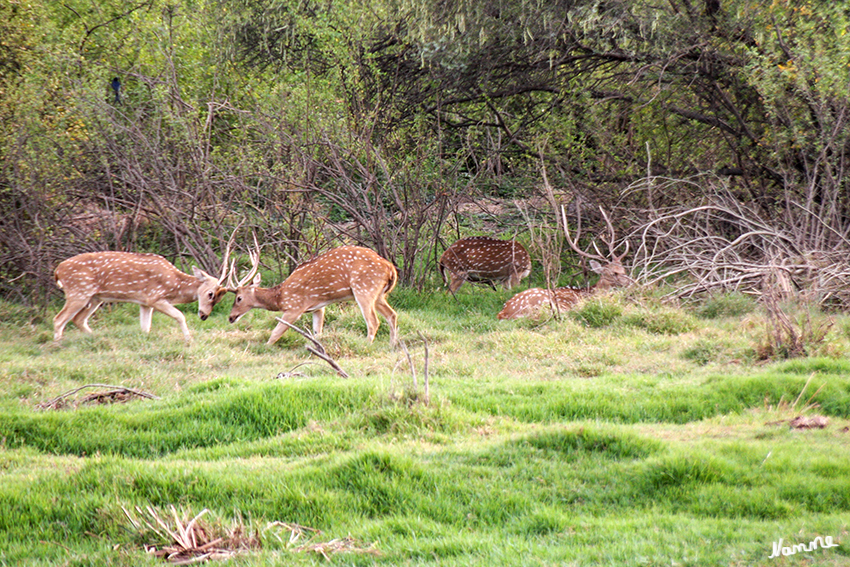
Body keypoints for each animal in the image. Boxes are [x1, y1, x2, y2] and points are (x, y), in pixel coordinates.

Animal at [225, 244, 398, 346]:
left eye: (239, 298)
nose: (231, 317)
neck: (280, 297)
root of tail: (390, 268)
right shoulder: (318, 307)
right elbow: (317, 333)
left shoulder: (295, 306)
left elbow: (276, 333)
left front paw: (266, 347)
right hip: (379, 294)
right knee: (392, 315)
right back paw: (392, 345)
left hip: (364, 289)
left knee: (373, 321)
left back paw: (366, 345)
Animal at [496, 207, 628, 322]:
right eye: (613, 273)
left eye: (624, 270)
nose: (630, 283)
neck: (589, 292)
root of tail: (503, 314)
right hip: (545, 301)